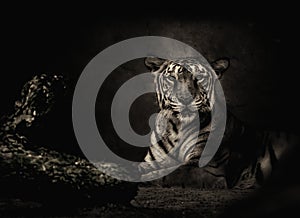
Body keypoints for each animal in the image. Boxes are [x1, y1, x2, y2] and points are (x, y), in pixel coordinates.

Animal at [139, 56, 298, 189]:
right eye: (172, 78)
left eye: (199, 77)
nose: (185, 99)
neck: (177, 129)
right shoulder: (152, 161)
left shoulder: (208, 170)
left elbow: (167, 174)